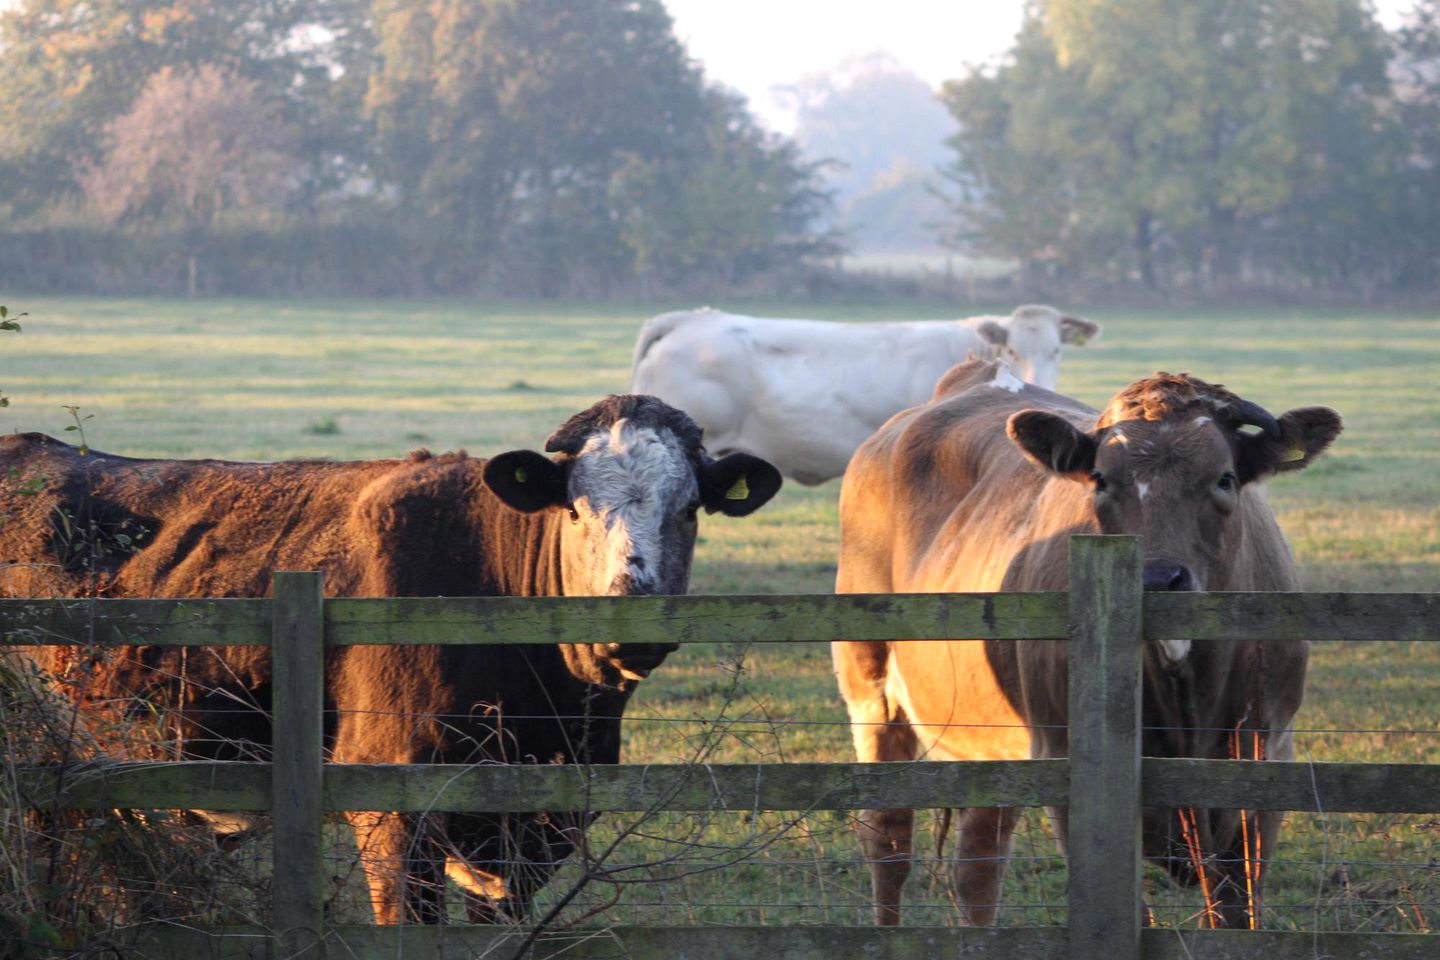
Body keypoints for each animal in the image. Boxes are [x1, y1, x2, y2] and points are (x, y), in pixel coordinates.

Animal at [840, 359, 1342, 932]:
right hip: (870, 693)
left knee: (976, 869)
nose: (1159, 579)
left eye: (1225, 478)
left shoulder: (1264, 762)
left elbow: (1234, 910)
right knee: (889, 841)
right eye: (1101, 479)